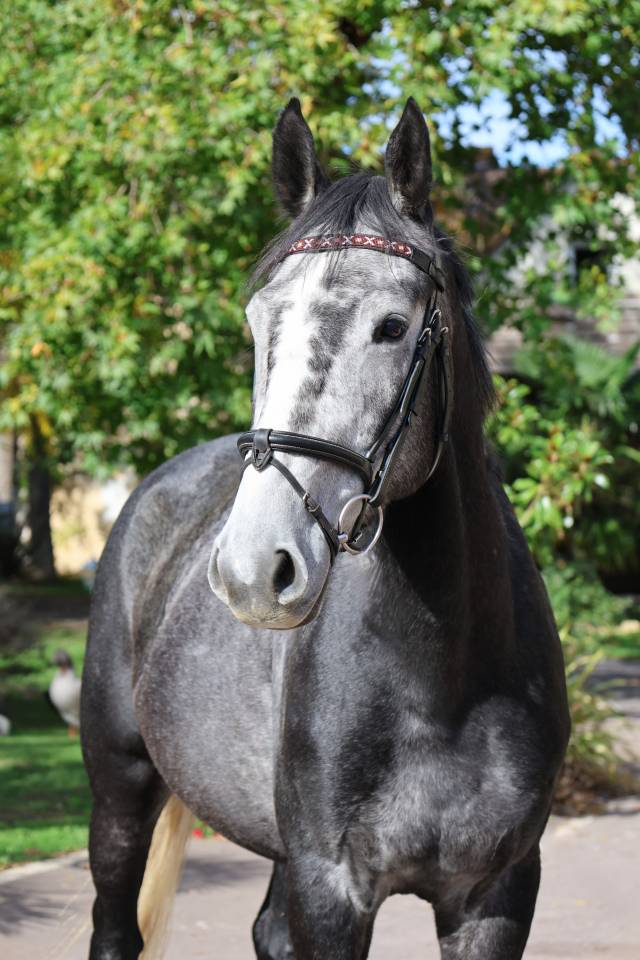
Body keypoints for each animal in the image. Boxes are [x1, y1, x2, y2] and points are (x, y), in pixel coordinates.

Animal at [81, 97, 570, 960]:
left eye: (393, 326)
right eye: (257, 322)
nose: (253, 568)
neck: (445, 682)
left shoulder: (499, 893)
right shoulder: (332, 888)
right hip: (119, 788)